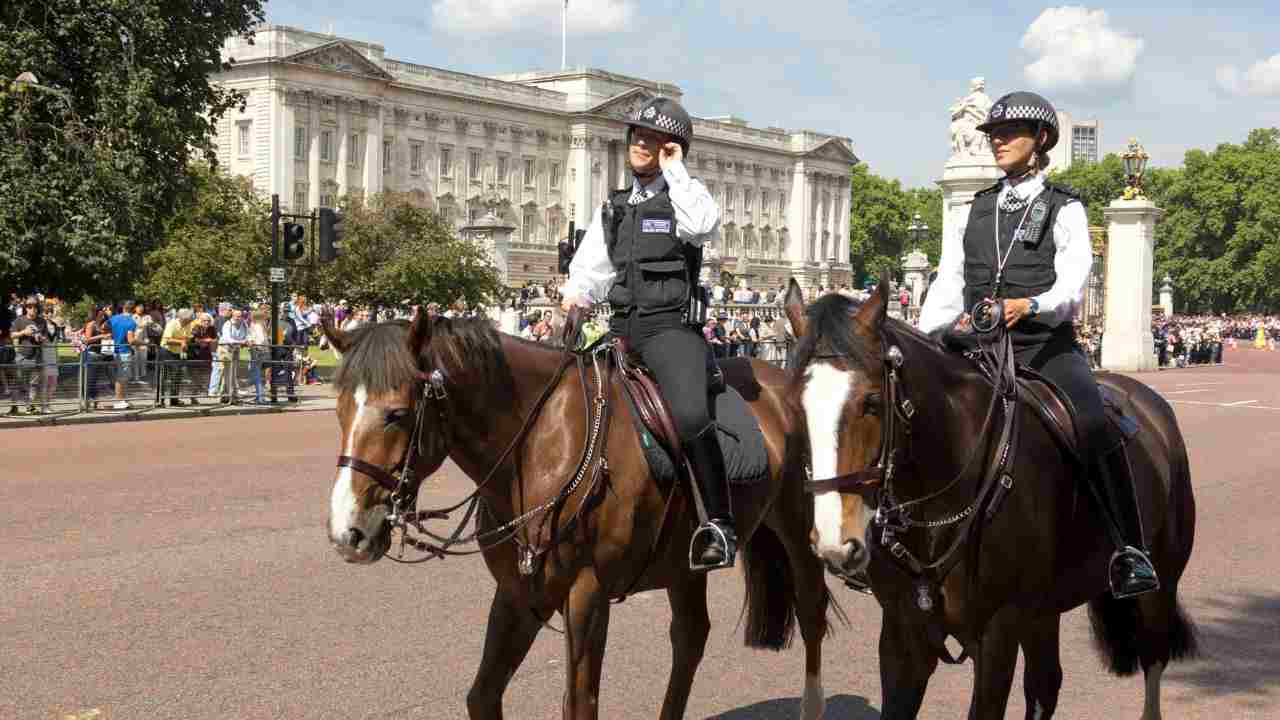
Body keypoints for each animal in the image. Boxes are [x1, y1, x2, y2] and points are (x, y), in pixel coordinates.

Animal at [320, 310, 839, 717]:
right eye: (341, 409)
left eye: (397, 413)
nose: (349, 531)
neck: (535, 448)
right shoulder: (520, 592)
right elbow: (482, 695)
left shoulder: (587, 592)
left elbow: (580, 704)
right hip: (681, 561)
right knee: (691, 637)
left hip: (799, 529)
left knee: (811, 612)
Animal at [778, 280, 1198, 717]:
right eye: (794, 405)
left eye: (872, 403)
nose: (836, 545)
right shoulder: (903, 634)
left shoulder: (997, 633)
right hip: (1042, 612)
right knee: (1046, 684)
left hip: (1160, 585)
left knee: (1153, 658)